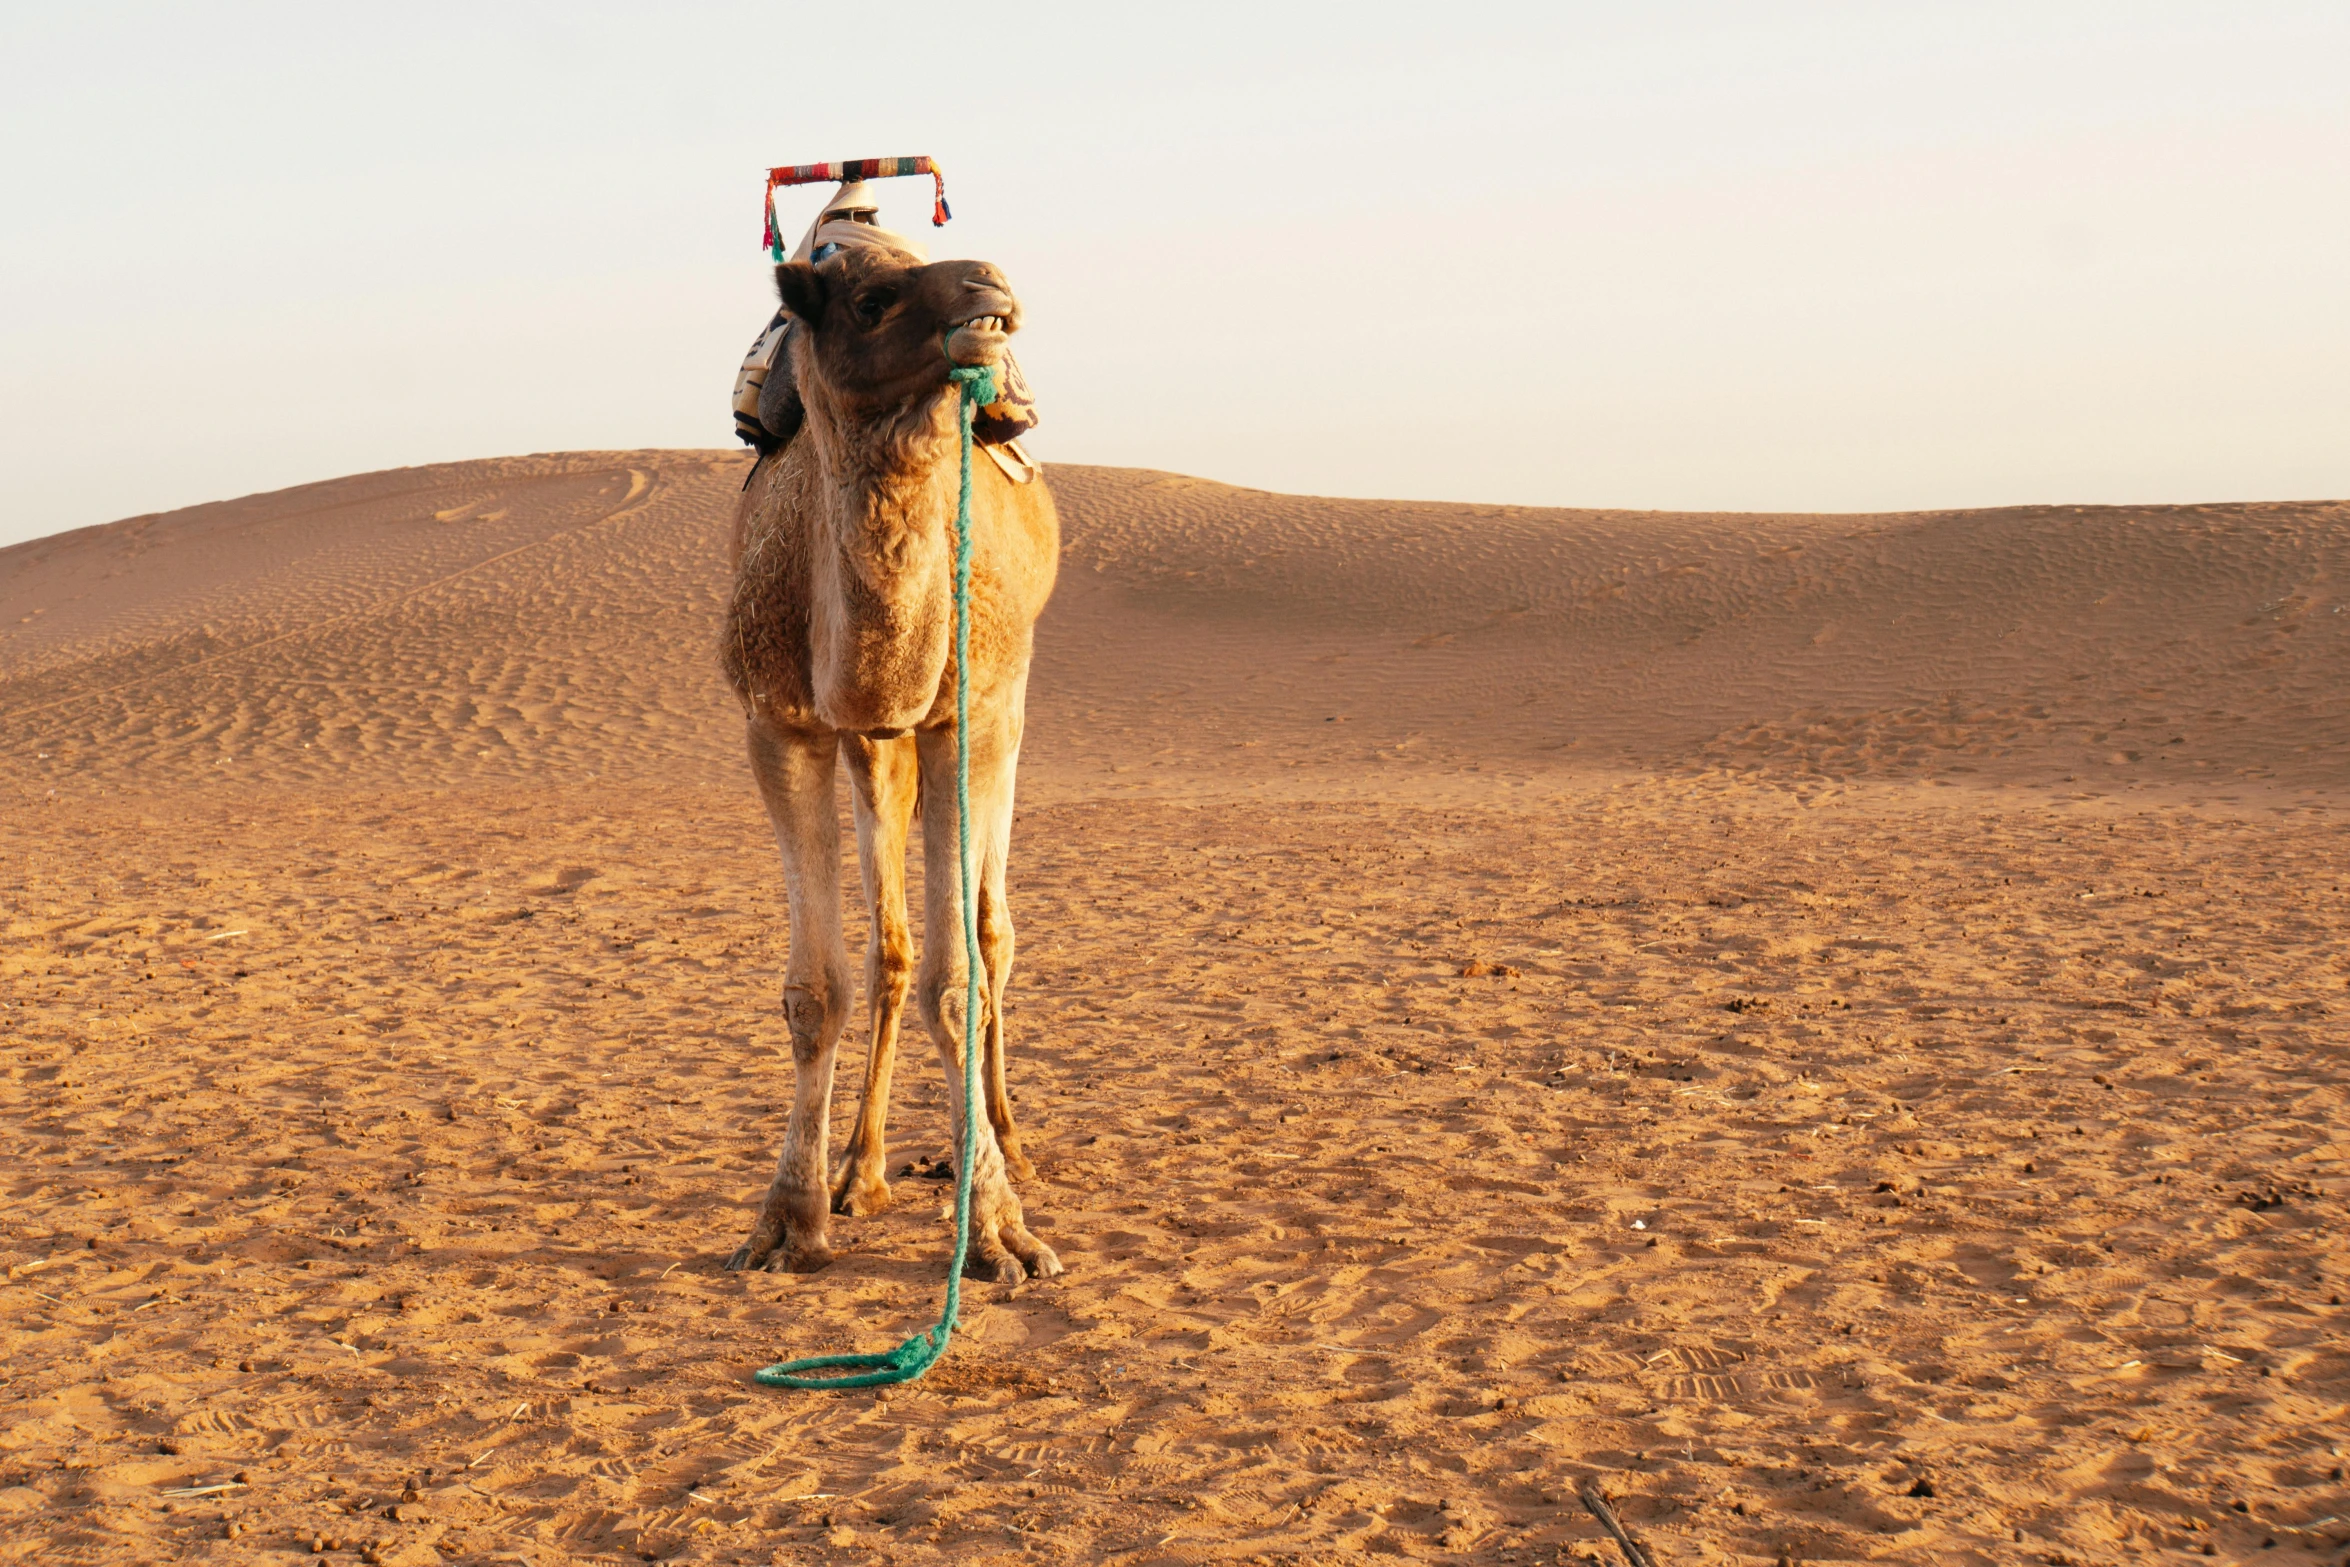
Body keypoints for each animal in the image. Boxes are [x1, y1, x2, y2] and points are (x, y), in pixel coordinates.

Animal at [714, 239, 1066, 1278]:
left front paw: (998, 1229)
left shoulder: (964, 720)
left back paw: (1001, 1142)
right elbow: (817, 988)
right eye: (871, 298)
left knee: (992, 930)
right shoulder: (780, 725)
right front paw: (789, 1217)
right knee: (892, 949)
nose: (992, 289)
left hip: (1010, 702)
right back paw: (860, 1170)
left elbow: (961, 977)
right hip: (878, 751)